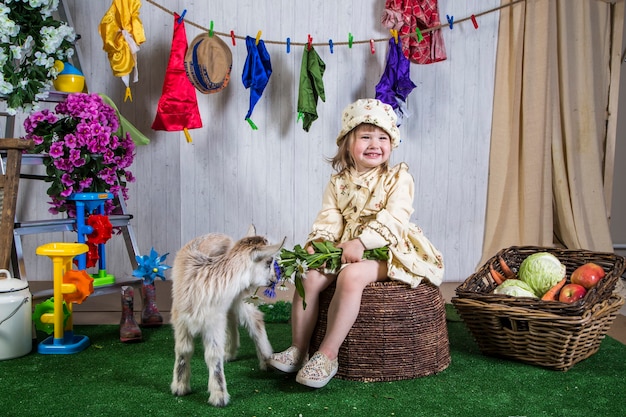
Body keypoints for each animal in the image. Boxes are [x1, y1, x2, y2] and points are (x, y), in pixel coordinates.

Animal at [169, 228, 284, 406]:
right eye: (269, 261)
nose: (274, 280)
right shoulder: (181, 319)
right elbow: (183, 350)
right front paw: (179, 387)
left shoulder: (213, 322)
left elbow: (213, 355)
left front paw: (219, 395)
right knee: (231, 318)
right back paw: (230, 353)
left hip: (242, 297)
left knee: (255, 319)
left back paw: (266, 360)